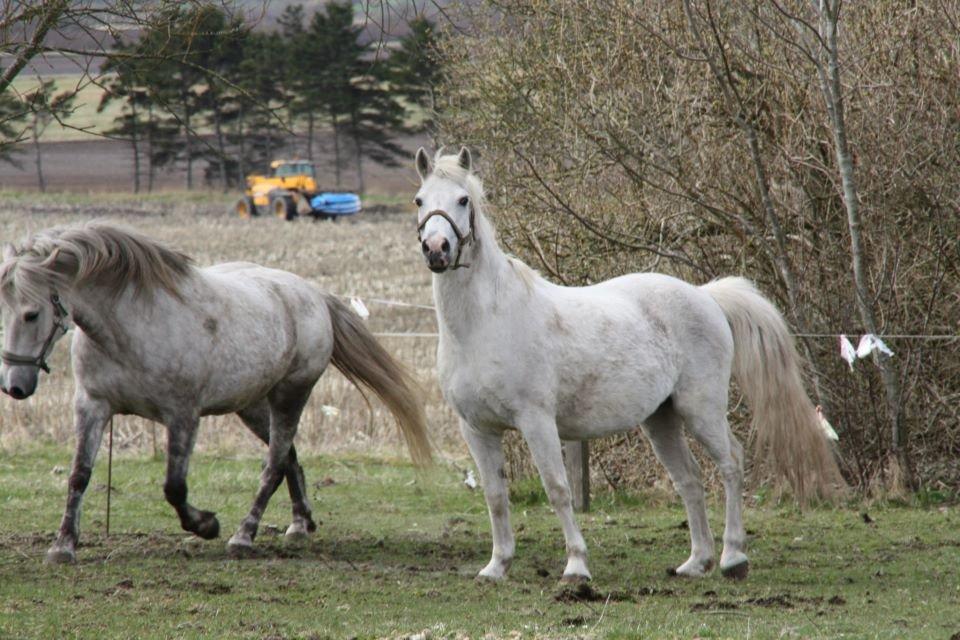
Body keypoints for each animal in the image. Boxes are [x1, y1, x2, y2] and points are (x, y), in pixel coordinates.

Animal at [0, 222, 428, 564]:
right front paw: (63, 546)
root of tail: (313, 293)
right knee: (290, 458)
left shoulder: (182, 416)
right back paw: (299, 525)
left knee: (274, 464)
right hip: (253, 407)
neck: (131, 327)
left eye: (32, 314)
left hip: (291, 396)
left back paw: (243, 536)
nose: (14, 386)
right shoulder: (92, 406)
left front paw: (206, 524)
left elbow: (174, 486)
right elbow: (79, 475)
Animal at [412, 148, 840, 584]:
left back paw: (732, 558)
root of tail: (706, 296)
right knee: (689, 479)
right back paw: (696, 562)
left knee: (731, 464)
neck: (485, 323)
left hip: (701, 410)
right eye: (420, 201)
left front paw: (576, 566)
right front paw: (496, 566)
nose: (436, 248)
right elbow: (495, 496)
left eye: (463, 200)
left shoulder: (537, 421)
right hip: (661, 419)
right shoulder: (477, 429)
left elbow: (558, 489)